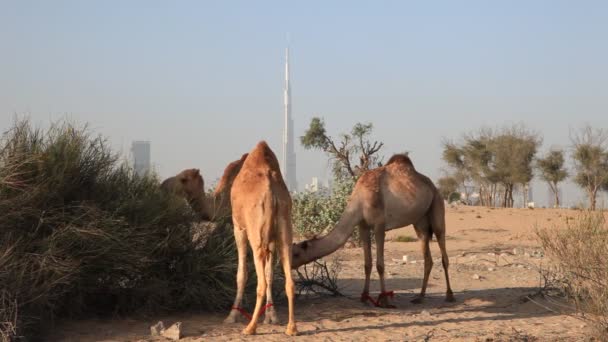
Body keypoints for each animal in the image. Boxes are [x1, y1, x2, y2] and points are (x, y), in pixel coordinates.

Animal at [224, 140, 298, 336]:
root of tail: (271, 193)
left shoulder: (239, 228)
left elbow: (241, 273)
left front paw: (232, 316)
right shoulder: (270, 238)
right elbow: (270, 273)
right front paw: (272, 317)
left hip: (255, 236)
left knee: (261, 283)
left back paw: (250, 327)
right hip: (284, 229)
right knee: (289, 281)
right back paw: (291, 328)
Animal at [292, 154, 454, 306]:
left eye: (296, 254)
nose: (290, 265)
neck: (360, 201)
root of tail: (433, 186)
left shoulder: (379, 225)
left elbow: (380, 265)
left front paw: (384, 301)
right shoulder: (363, 226)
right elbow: (367, 264)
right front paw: (364, 298)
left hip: (437, 204)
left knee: (443, 249)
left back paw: (449, 295)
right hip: (419, 221)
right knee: (427, 255)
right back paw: (420, 297)